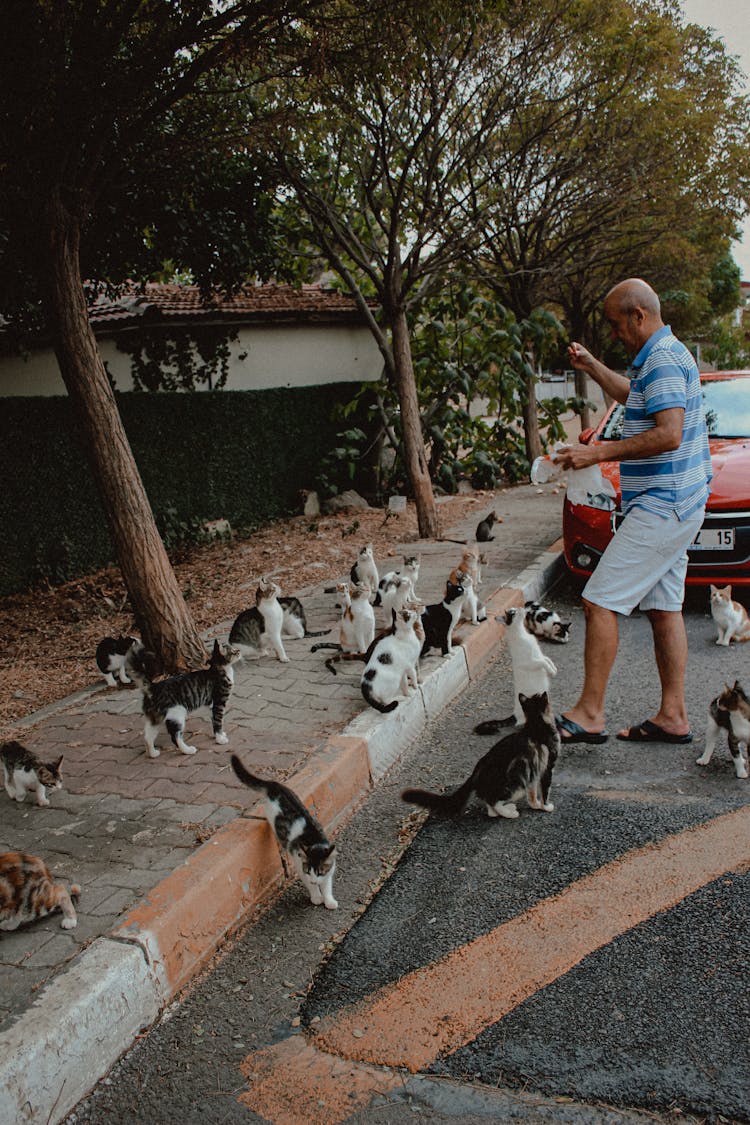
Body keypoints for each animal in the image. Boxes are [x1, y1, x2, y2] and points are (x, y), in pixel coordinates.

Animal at [230, 751, 339, 909]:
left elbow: (326, 885)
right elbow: (310, 884)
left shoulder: (329, 870)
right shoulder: (300, 866)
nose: (314, 880)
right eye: (308, 871)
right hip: (271, 814)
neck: (314, 839)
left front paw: (329, 900)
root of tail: (274, 785)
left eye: (319, 872)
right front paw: (317, 896)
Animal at [404, 684, 557, 819]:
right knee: (495, 801)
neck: (536, 725)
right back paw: (510, 813)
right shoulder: (547, 767)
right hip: (516, 783)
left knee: (489, 803)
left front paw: (535, 805)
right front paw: (546, 807)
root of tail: (477, 769)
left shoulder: (534, 770)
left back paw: (499, 812)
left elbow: (532, 792)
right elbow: (545, 790)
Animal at [474, 603, 557, 733]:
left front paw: (554, 669)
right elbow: (543, 663)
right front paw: (551, 672)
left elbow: (547, 659)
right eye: (513, 612)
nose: (520, 607)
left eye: (514, 609)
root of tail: (514, 714)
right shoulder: (531, 662)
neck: (522, 633)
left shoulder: (540, 655)